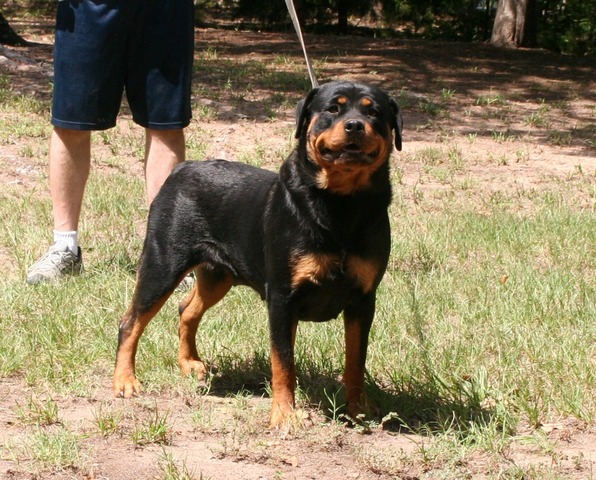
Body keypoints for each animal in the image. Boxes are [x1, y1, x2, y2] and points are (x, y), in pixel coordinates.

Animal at [114, 79, 402, 428]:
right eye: (334, 108)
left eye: (374, 112)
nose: (355, 125)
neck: (341, 205)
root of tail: (183, 167)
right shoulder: (282, 297)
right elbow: (283, 361)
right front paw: (285, 414)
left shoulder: (363, 298)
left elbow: (356, 359)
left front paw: (359, 407)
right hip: (162, 264)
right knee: (131, 321)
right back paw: (125, 381)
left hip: (217, 276)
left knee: (187, 309)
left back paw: (190, 363)